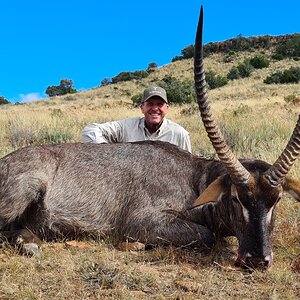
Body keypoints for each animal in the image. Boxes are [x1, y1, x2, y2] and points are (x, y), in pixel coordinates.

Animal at [0, 5, 298, 270]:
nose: (257, 259)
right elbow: (207, 236)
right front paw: (134, 245)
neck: (194, 178)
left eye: (276, 200)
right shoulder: (143, 222)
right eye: (236, 198)